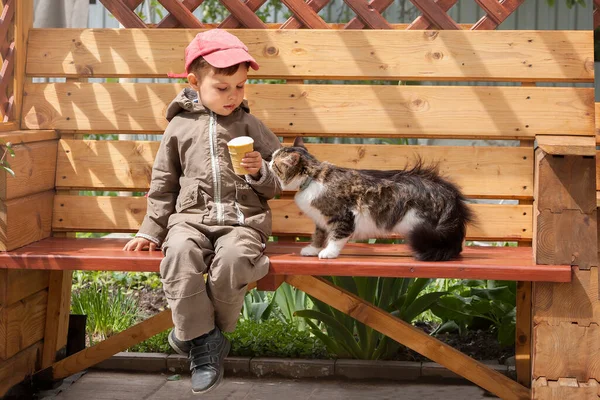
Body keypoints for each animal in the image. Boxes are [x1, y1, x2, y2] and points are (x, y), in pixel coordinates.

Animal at [270, 137, 476, 262]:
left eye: (275, 163)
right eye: (272, 158)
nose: (268, 161)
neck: (313, 177)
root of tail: (452, 199)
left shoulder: (343, 216)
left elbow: (336, 237)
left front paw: (328, 253)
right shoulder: (321, 220)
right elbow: (318, 236)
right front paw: (312, 249)